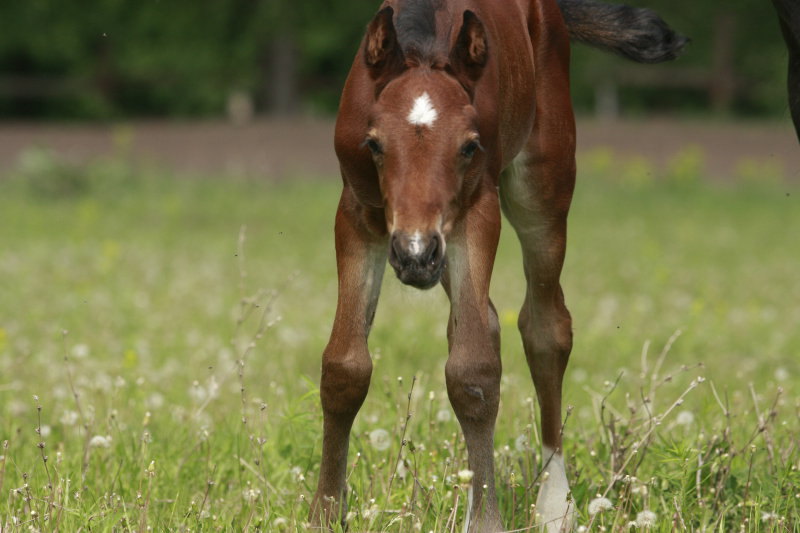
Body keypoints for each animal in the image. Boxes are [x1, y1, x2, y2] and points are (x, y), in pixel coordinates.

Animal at [310, 2, 684, 528]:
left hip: (541, 186)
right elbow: (345, 367)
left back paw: (555, 505)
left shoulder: (476, 214)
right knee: (483, 322)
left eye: (468, 146)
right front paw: (324, 516)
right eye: (374, 144)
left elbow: (474, 371)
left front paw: (486, 522)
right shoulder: (358, 215)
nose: (415, 252)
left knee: (545, 329)